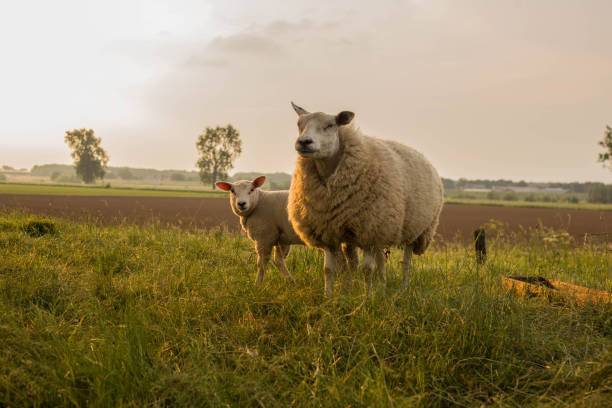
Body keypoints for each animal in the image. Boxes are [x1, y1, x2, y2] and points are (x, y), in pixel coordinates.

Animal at [216, 177, 360, 286]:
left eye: (251, 190)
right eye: (232, 191)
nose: (241, 204)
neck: (258, 202)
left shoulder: (264, 237)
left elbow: (262, 264)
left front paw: (257, 285)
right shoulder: (282, 239)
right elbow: (279, 261)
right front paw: (291, 282)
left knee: (343, 261)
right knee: (352, 260)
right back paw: (352, 282)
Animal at [286, 102, 444, 296]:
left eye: (330, 125)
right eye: (299, 124)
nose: (304, 142)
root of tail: (422, 155)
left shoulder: (369, 230)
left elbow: (367, 270)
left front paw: (367, 297)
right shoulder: (328, 232)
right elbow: (329, 269)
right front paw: (330, 296)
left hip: (415, 231)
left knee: (406, 263)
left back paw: (403, 289)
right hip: (381, 229)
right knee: (380, 260)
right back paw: (383, 287)